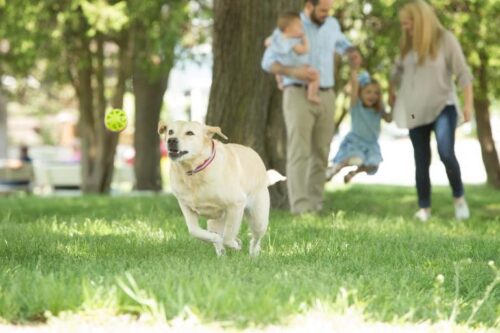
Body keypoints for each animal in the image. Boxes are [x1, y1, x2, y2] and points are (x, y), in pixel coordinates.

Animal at [160, 120, 286, 255]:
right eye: (170, 131)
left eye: (190, 133)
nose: (171, 140)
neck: (195, 171)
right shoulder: (186, 206)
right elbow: (195, 231)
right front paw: (217, 239)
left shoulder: (236, 205)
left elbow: (228, 237)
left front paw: (235, 245)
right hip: (215, 221)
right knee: (219, 235)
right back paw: (221, 253)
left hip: (258, 218)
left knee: (255, 238)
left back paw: (253, 254)